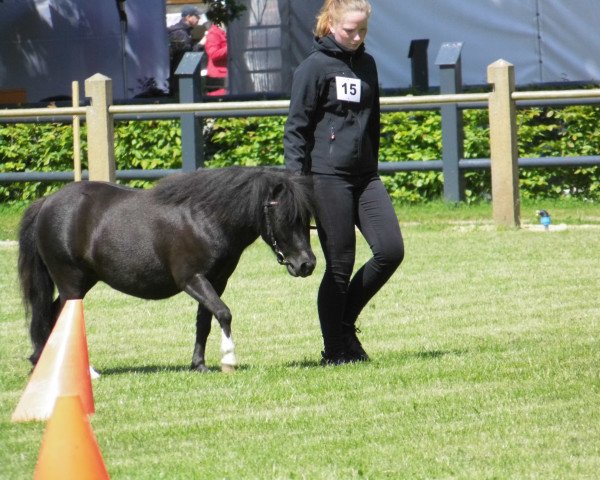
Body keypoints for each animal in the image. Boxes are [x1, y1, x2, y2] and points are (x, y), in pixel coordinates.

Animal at [17, 167, 316, 374]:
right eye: (286, 217)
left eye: (305, 218)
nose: (307, 264)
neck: (204, 219)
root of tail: (47, 202)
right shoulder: (192, 280)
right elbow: (224, 313)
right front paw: (229, 359)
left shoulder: (215, 282)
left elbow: (205, 321)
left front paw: (199, 364)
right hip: (71, 281)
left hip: (83, 281)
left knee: (51, 315)